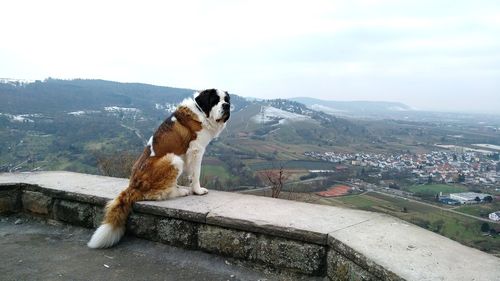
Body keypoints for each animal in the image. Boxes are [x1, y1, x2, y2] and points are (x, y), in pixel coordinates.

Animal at [88, 88, 230, 247]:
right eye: (215, 100)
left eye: (226, 100)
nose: (226, 106)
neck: (200, 111)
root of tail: (133, 185)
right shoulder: (196, 150)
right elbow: (196, 174)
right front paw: (198, 191)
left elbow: (191, 174)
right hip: (174, 159)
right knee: (157, 194)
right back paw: (180, 192)